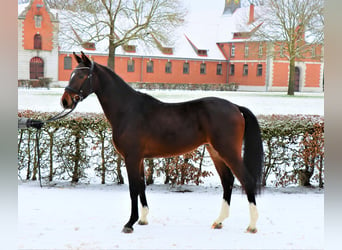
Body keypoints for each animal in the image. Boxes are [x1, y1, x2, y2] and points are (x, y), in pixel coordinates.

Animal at [61, 51, 264, 233]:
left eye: (81, 75)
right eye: (71, 73)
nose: (65, 101)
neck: (128, 110)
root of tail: (235, 107)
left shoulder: (131, 157)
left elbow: (133, 188)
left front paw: (130, 223)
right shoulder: (139, 158)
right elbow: (141, 185)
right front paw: (142, 219)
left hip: (228, 151)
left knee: (246, 180)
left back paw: (252, 225)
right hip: (215, 152)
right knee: (227, 181)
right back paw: (219, 221)